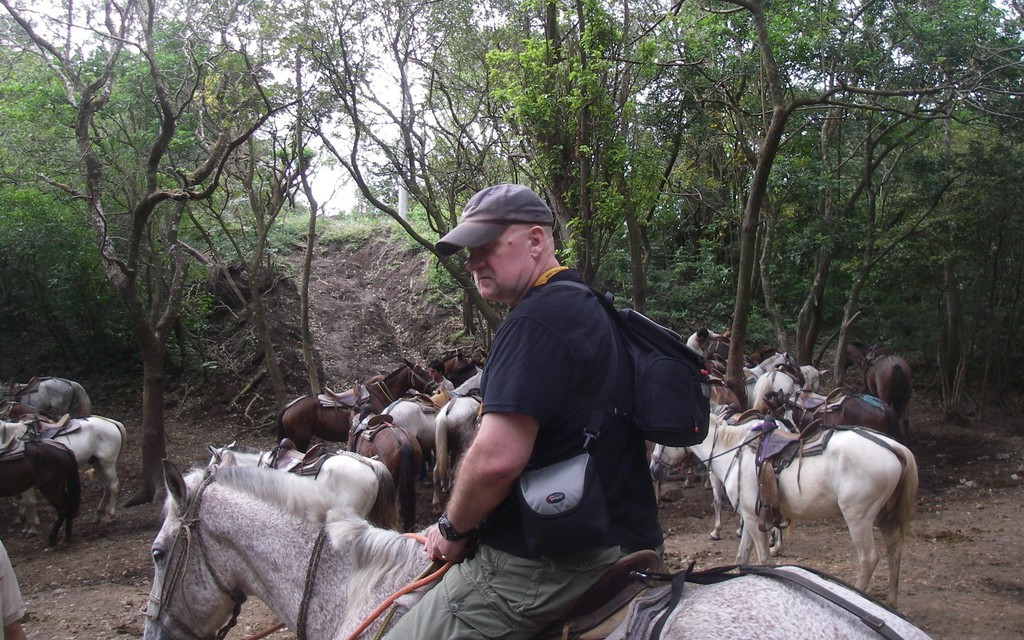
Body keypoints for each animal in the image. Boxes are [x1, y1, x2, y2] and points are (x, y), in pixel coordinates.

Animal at [655, 413, 921, 602]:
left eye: (661, 440)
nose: (654, 468)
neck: (733, 451)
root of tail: (895, 447)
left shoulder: (754, 520)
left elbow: (763, 561)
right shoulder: (749, 518)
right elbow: (742, 557)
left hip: (858, 517)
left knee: (868, 558)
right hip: (885, 515)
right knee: (894, 550)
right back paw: (891, 601)